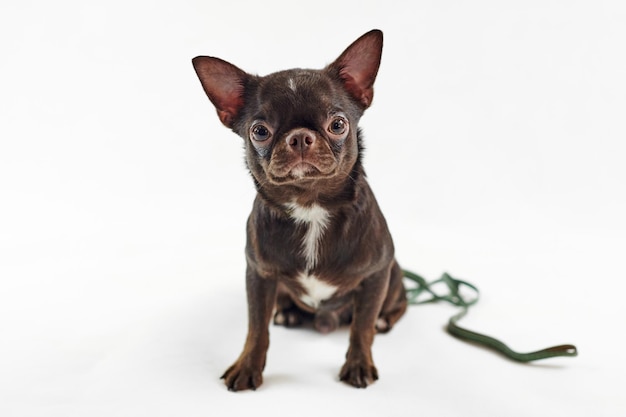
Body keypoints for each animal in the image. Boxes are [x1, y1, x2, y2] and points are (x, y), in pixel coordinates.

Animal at [191, 30, 404, 390]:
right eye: (259, 131)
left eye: (338, 124)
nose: (300, 137)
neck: (310, 208)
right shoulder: (259, 275)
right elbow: (256, 329)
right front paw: (247, 367)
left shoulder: (376, 274)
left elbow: (361, 328)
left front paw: (359, 364)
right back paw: (288, 312)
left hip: (395, 275)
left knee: (396, 304)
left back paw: (385, 321)